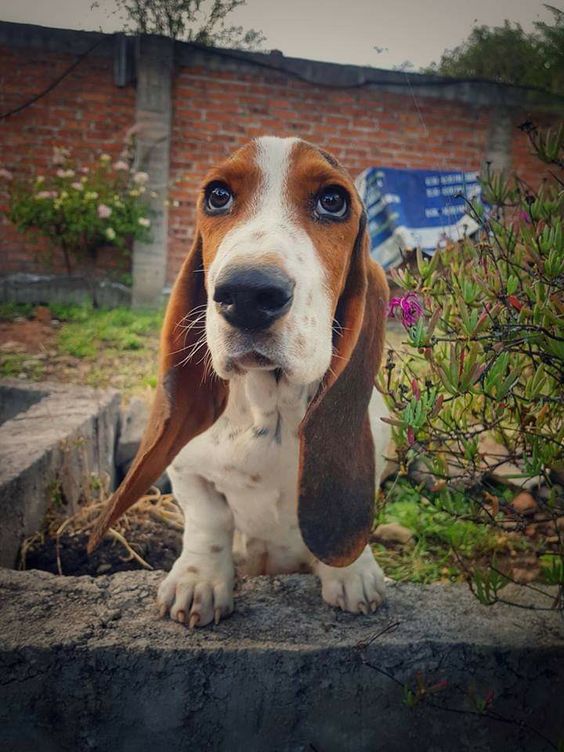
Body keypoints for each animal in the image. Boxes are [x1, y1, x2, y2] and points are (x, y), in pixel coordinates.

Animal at [89, 137, 388, 628]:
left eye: (333, 200)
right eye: (217, 195)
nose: (248, 293)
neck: (271, 407)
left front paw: (352, 572)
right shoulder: (187, 470)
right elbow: (209, 522)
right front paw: (199, 582)